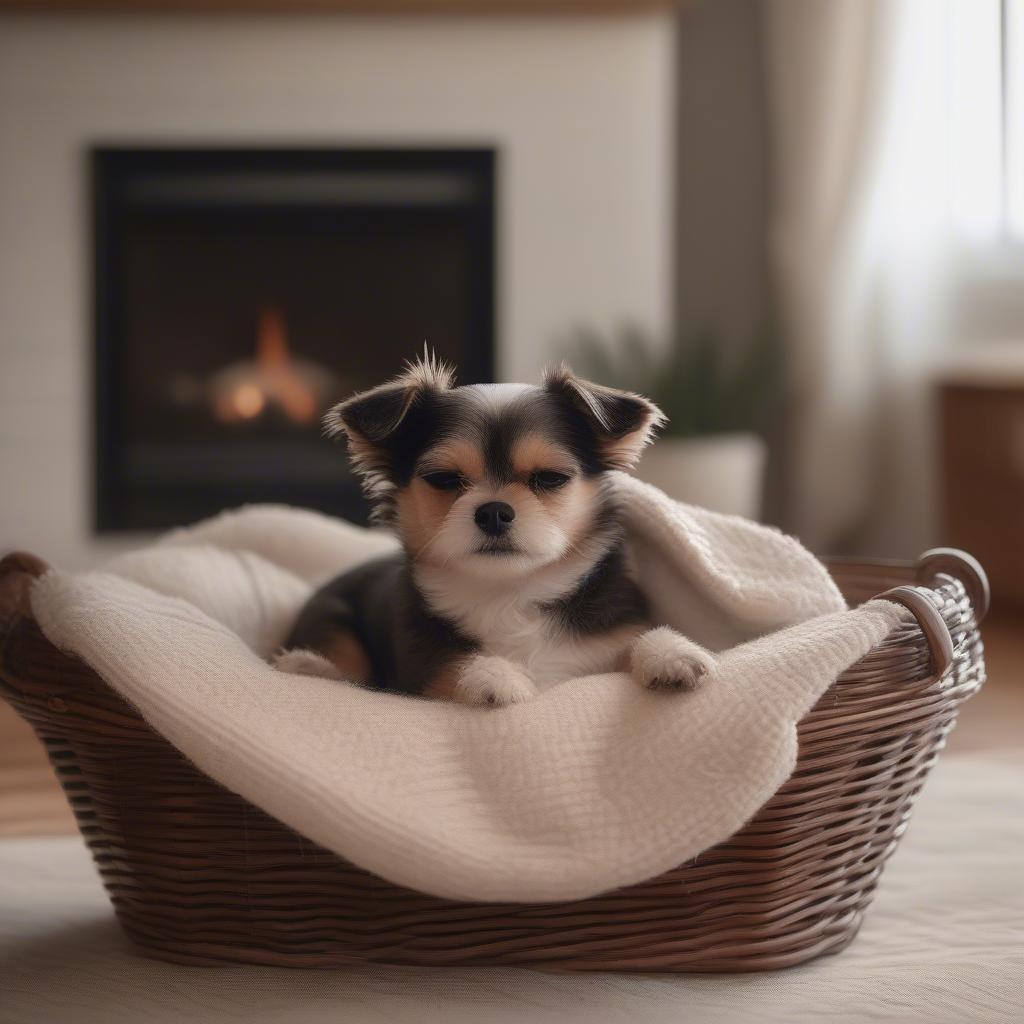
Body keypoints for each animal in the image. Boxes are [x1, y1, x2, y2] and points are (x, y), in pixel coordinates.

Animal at [276, 356, 716, 708]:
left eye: (550, 478)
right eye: (444, 479)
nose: (494, 512)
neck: (510, 593)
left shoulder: (608, 636)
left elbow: (636, 639)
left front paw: (671, 654)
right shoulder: (422, 672)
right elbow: (454, 664)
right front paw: (494, 677)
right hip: (332, 616)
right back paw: (308, 664)